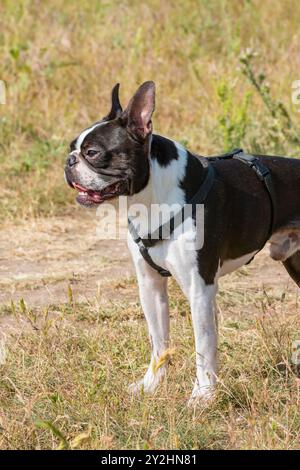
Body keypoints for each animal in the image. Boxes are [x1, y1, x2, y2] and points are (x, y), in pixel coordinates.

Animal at [65, 82, 300, 406]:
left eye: (92, 152)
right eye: (72, 148)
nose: (69, 161)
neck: (152, 198)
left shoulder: (199, 287)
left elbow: (204, 345)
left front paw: (202, 396)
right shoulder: (150, 285)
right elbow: (159, 341)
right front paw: (151, 385)